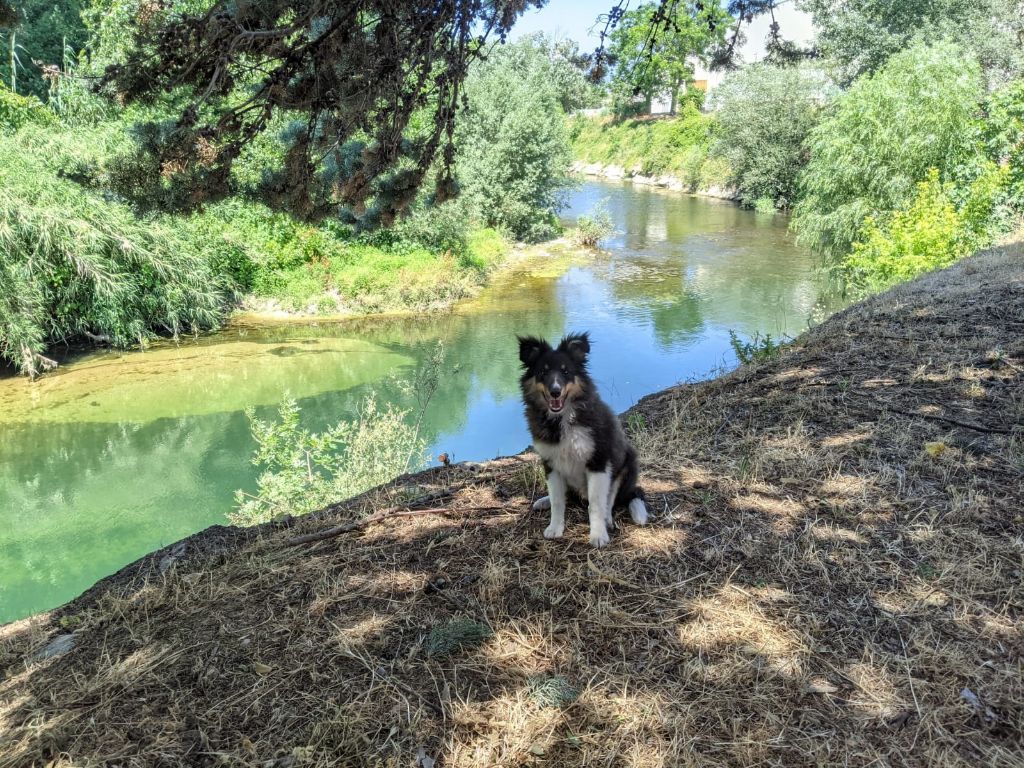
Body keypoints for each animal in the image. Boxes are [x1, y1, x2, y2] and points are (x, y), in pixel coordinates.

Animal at [520, 331, 647, 548]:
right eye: (543, 372)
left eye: (566, 372)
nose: (555, 391)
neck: (562, 418)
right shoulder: (550, 463)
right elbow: (557, 501)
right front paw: (555, 528)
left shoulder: (598, 461)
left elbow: (596, 504)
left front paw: (598, 535)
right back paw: (544, 501)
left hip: (627, 464)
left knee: (611, 499)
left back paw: (607, 520)